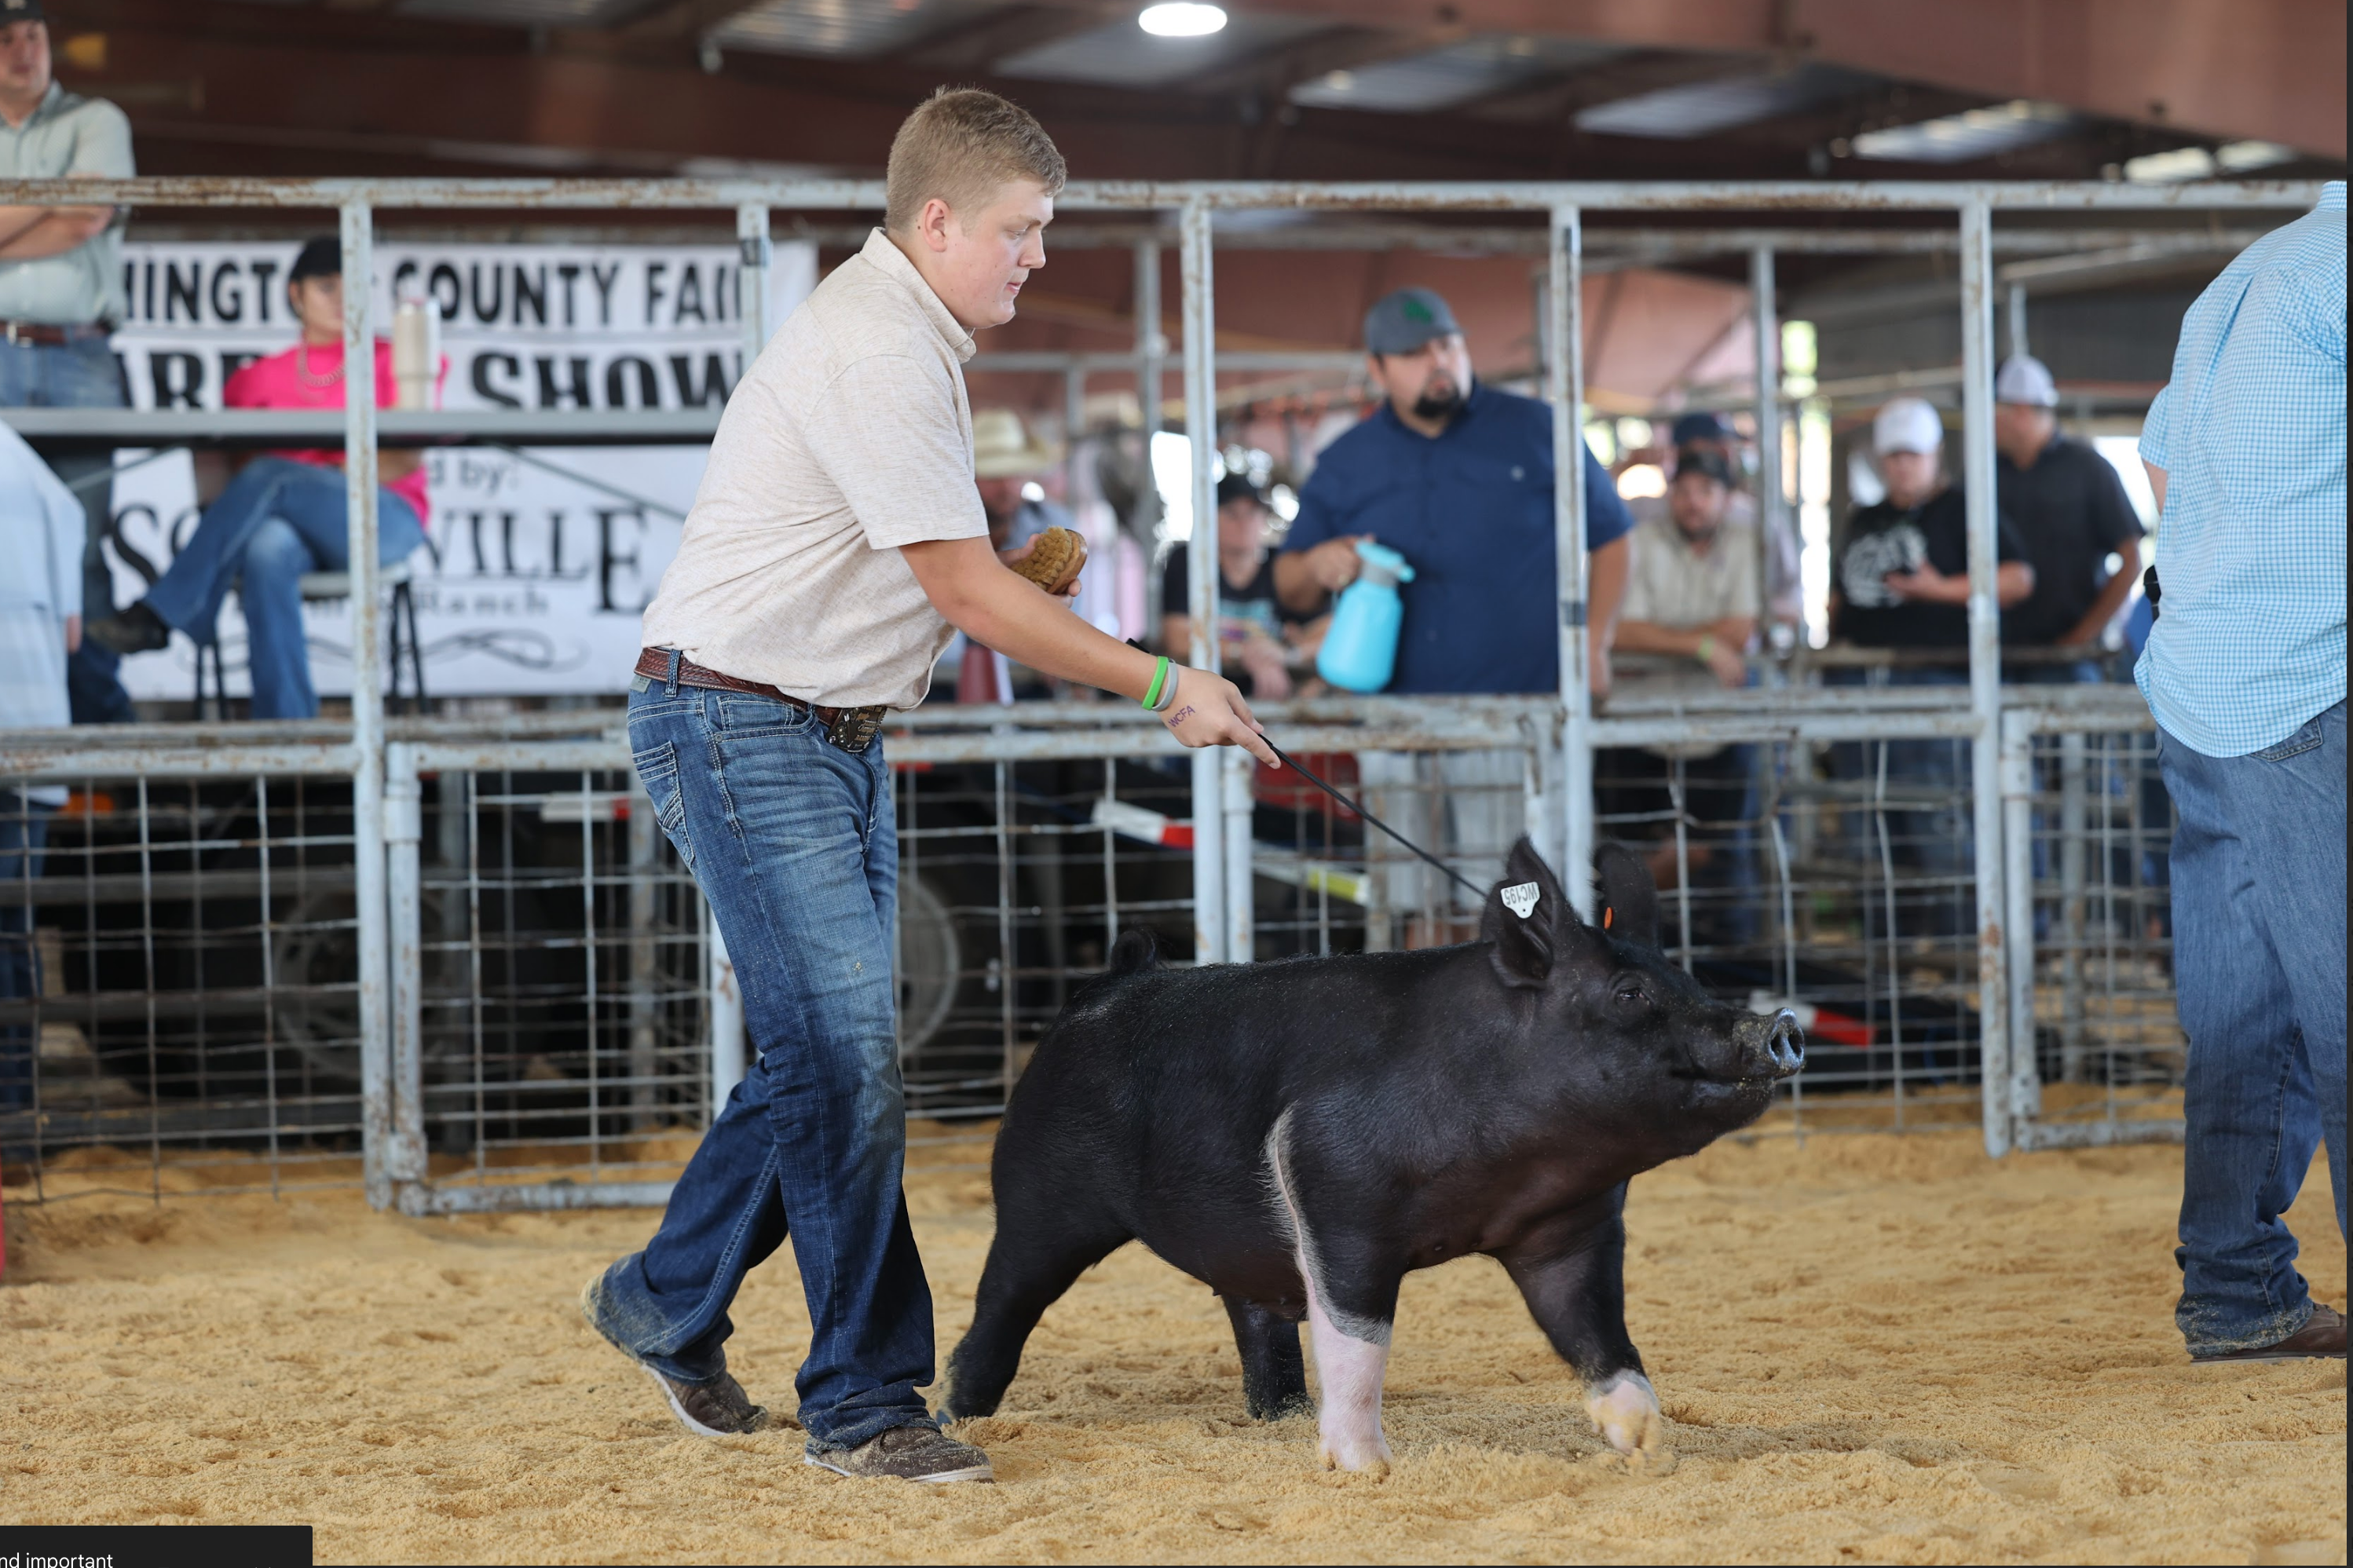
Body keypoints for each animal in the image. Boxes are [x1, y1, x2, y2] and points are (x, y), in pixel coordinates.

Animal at [941, 841, 1797, 1476]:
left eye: (1687, 978)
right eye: (1626, 993)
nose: (1774, 1024)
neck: (1518, 1173)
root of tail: (1107, 984)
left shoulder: (1569, 1229)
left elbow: (1597, 1332)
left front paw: (1644, 1445)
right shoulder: (1332, 1188)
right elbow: (1358, 1338)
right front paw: (1367, 1468)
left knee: (1256, 1317)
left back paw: (1281, 1418)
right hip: (1038, 1196)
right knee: (1001, 1304)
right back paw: (956, 1417)